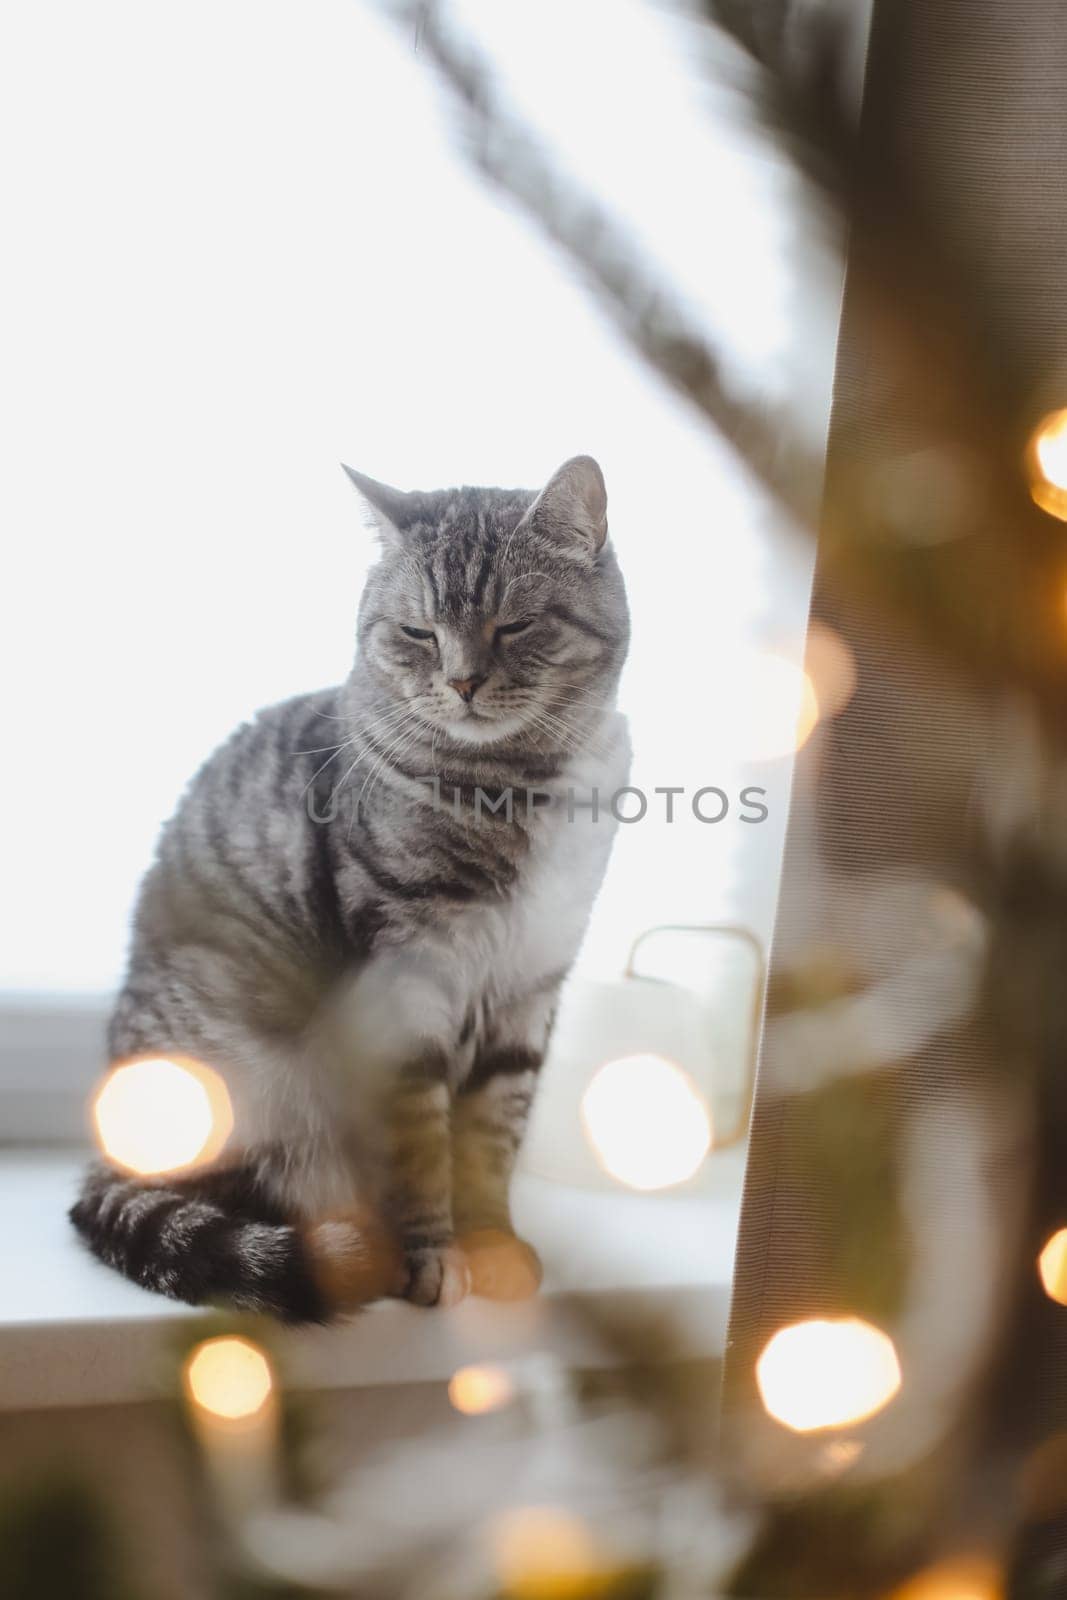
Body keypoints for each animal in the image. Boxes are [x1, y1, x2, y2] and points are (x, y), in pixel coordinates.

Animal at [70, 457, 630, 1318]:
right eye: (417, 632)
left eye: (513, 626)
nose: (463, 681)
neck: (513, 790)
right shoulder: (407, 975)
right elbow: (423, 1143)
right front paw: (433, 1256)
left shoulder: (530, 987)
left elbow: (492, 1137)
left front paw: (493, 1244)